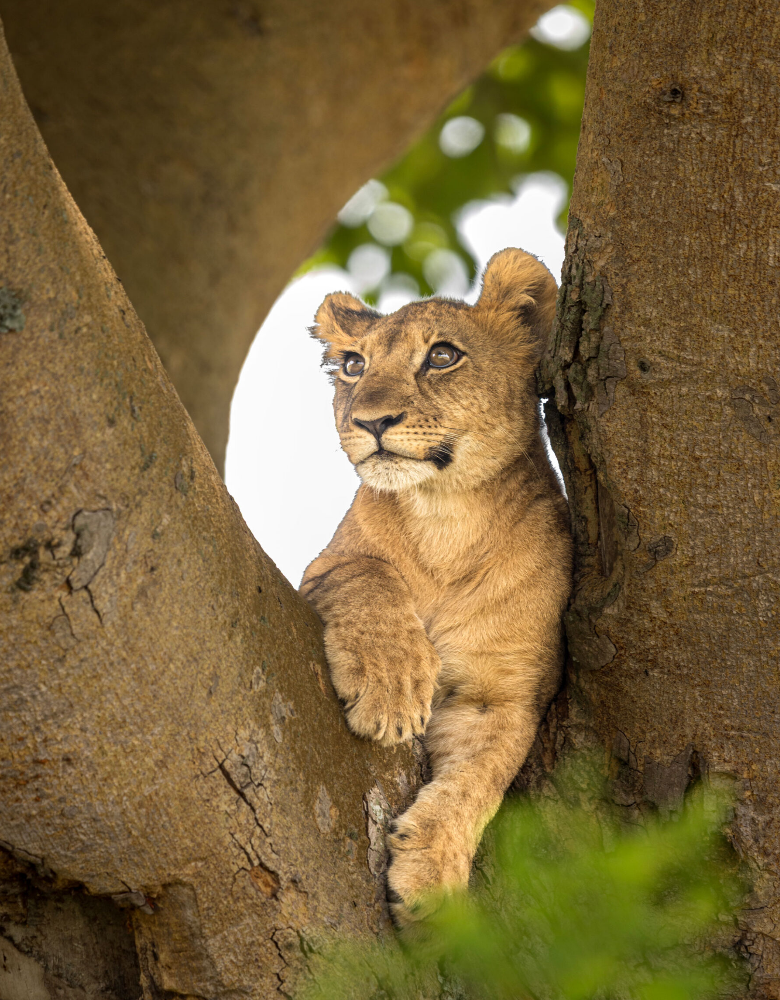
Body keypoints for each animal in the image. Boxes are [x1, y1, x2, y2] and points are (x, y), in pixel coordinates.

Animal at [300, 247, 572, 928]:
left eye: (443, 356)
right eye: (354, 365)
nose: (370, 421)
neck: (447, 515)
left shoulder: (501, 694)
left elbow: (479, 780)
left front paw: (432, 884)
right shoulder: (320, 568)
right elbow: (367, 574)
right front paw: (393, 688)